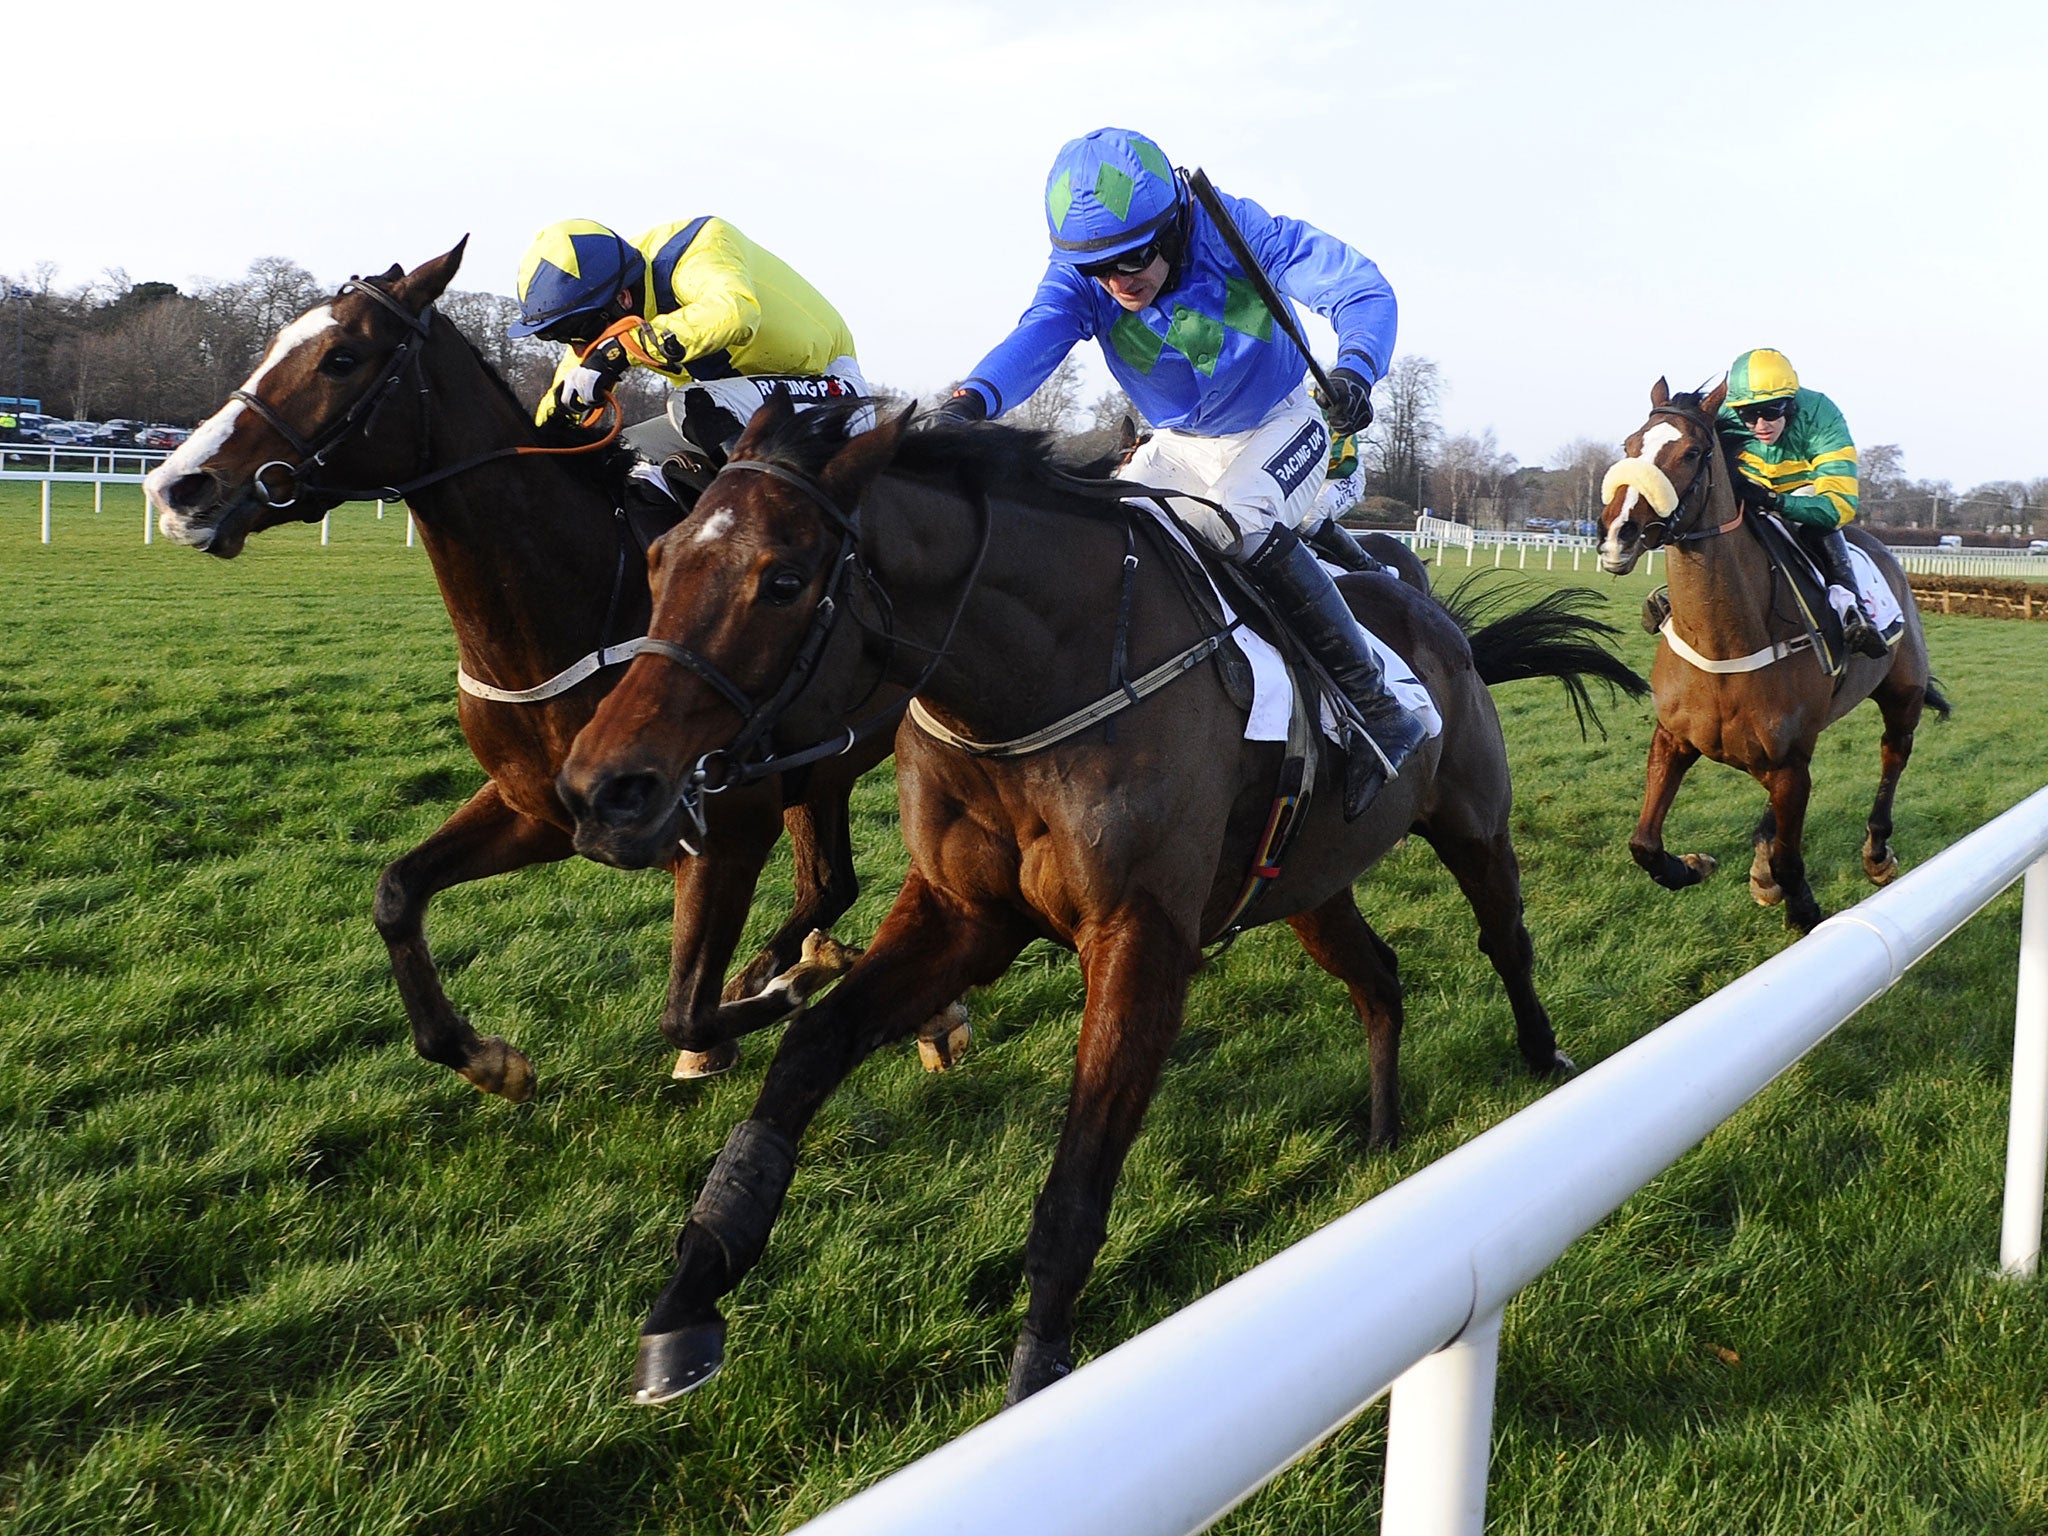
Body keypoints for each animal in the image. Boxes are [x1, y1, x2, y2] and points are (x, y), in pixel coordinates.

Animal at [148, 243, 901, 1097]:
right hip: (822, 770)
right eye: (275, 343)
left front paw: (790, 990)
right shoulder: (536, 807)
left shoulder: (729, 826)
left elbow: (688, 1010)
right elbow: (396, 891)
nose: (176, 488)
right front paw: (487, 1060)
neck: (582, 605)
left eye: (342, 358)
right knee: (830, 883)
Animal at [552, 393, 1638, 1409]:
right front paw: (690, 1293)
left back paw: (1544, 1057)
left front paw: (1037, 1372)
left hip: (1470, 824)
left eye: (781, 580)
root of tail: (1440, 622)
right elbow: (808, 1053)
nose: (603, 790)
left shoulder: (1140, 939)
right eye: (657, 563)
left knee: (1505, 938)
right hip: (1310, 884)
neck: (1041, 682)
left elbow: (1076, 1179)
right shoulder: (960, 915)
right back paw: (1381, 1133)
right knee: (1378, 978)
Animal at [1589, 382, 1941, 937]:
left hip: (1902, 693)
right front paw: (1693, 866)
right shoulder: (1675, 738)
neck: (1725, 642)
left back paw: (1877, 851)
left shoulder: (1790, 762)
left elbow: (1790, 861)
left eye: (1692, 453)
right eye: (1629, 445)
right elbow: (1643, 843)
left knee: (1894, 753)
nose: (1616, 533)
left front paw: (1804, 908)